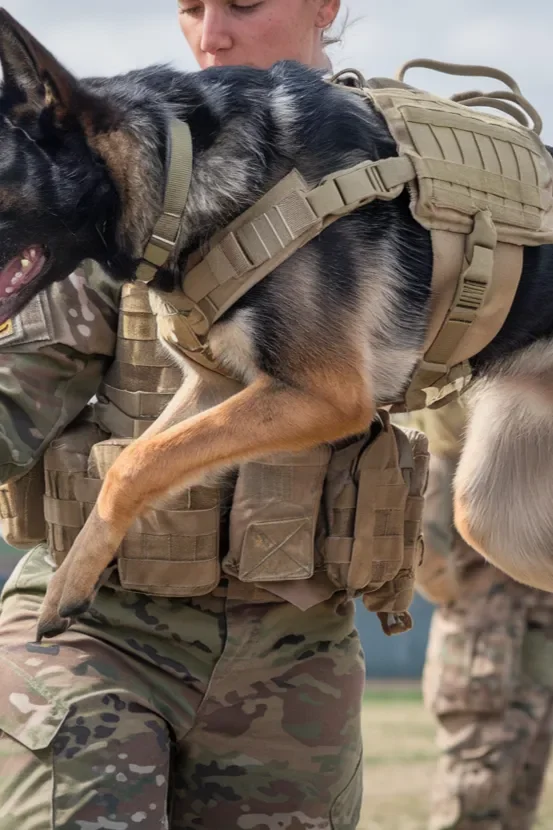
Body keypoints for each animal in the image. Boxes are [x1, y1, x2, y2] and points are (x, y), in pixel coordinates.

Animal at [1, 11, 552, 636]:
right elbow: (141, 457)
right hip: (494, 513)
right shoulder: (217, 387)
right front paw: (69, 583)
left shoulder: (325, 396)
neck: (182, 165)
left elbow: (133, 465)